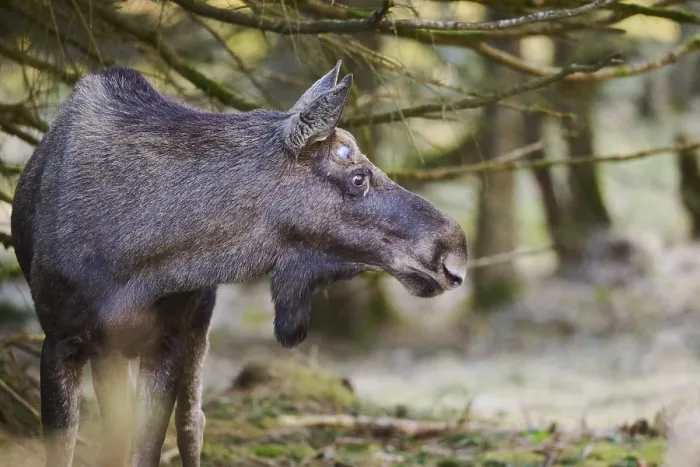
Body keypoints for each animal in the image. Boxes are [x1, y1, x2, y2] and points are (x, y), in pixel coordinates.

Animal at [10, 60, 468, 467]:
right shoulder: (60, 339)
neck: (136, 263)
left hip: (194, 325)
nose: (456, 251)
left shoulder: (166, 340)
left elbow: (149, 448)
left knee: (192, 423)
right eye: (357, 177)